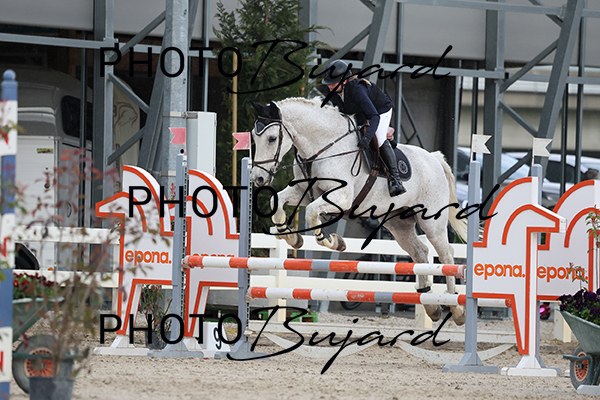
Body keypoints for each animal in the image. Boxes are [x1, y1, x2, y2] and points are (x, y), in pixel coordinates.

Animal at [249, 98, 468, 325]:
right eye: (254, 137)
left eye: (272, 138)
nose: (258, 179)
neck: (322, 148)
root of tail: (434, 159)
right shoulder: (302, 191)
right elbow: (277, 202)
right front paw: (292, 238)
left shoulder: (341, 197)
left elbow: (311, 212)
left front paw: (332, 241)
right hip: (398, 224)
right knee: (421, 252)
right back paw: (430, 304)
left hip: (432, 222)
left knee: (446, 256)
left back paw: (456, 308)